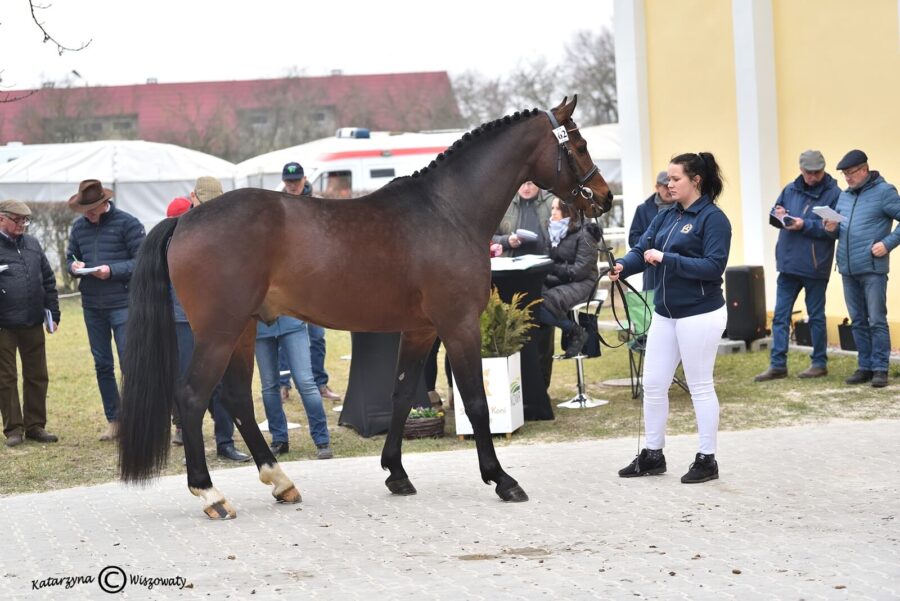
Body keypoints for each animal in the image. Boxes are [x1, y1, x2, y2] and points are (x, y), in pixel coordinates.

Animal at [118, 96, 612, 516]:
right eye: (580, 145)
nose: (605, 197)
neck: (447, 211)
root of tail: (186, 220)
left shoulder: (421, 329)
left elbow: (401, 395)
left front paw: (396, 472)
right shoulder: (459, 325)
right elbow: (475, 401)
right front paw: (501, 479)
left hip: (241, 330)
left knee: (236, 397)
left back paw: (281, 482)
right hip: (219, 332)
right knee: (192, 395)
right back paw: (210, 494)